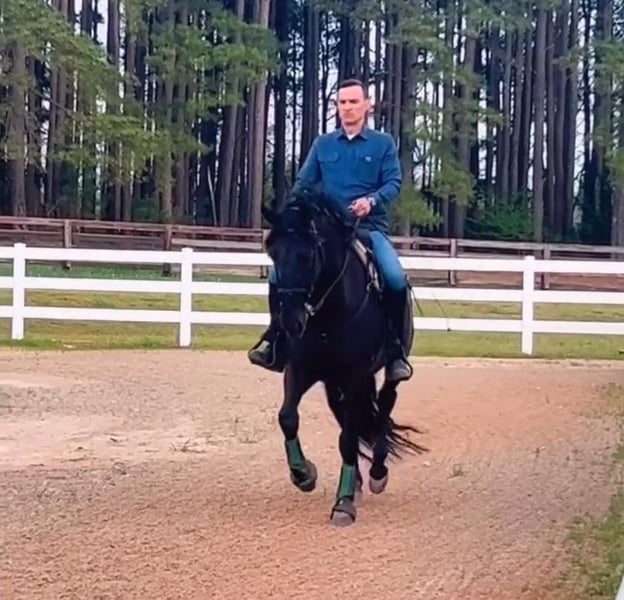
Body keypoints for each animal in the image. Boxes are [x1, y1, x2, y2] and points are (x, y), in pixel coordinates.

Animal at [259, 191, 428, 526]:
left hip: (381, 376)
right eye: (273, 254)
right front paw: (303, 474)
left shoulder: (356, 375)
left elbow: (349, 437)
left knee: (382, 411)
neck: (328, 314)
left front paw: (344, 503)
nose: (291, 323)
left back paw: (376, 474)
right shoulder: (301, 368)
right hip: (333, 381)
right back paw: (359, 481)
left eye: (307, 255)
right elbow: (287, 417)